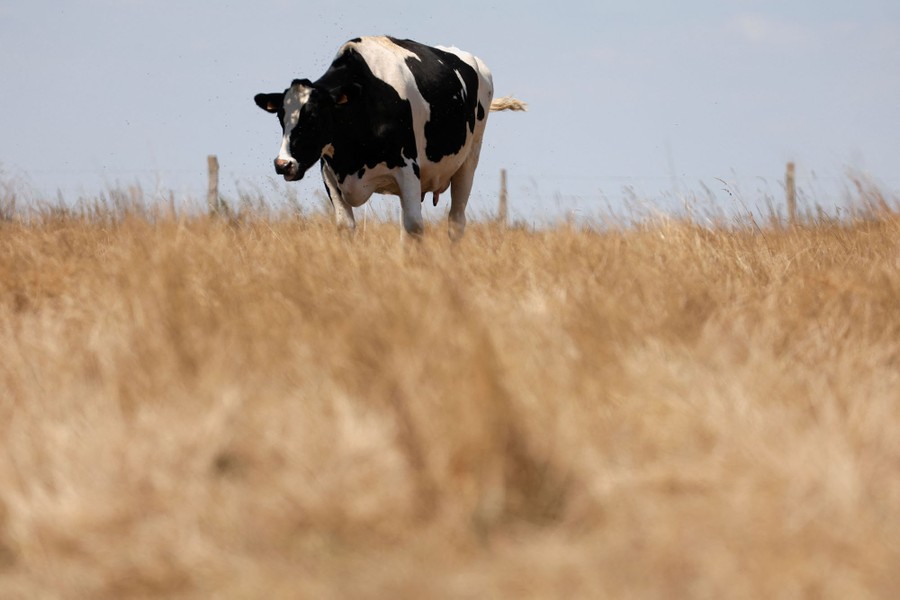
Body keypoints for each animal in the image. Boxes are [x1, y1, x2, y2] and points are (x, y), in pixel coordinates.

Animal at [254, 36, 525, 240]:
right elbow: (347, 227)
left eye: (314, 117)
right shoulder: (330, 173)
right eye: (280, 116)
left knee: (455, 222)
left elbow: (414, 226)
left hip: (468, 161)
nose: (283, 164)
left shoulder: (408, 168)